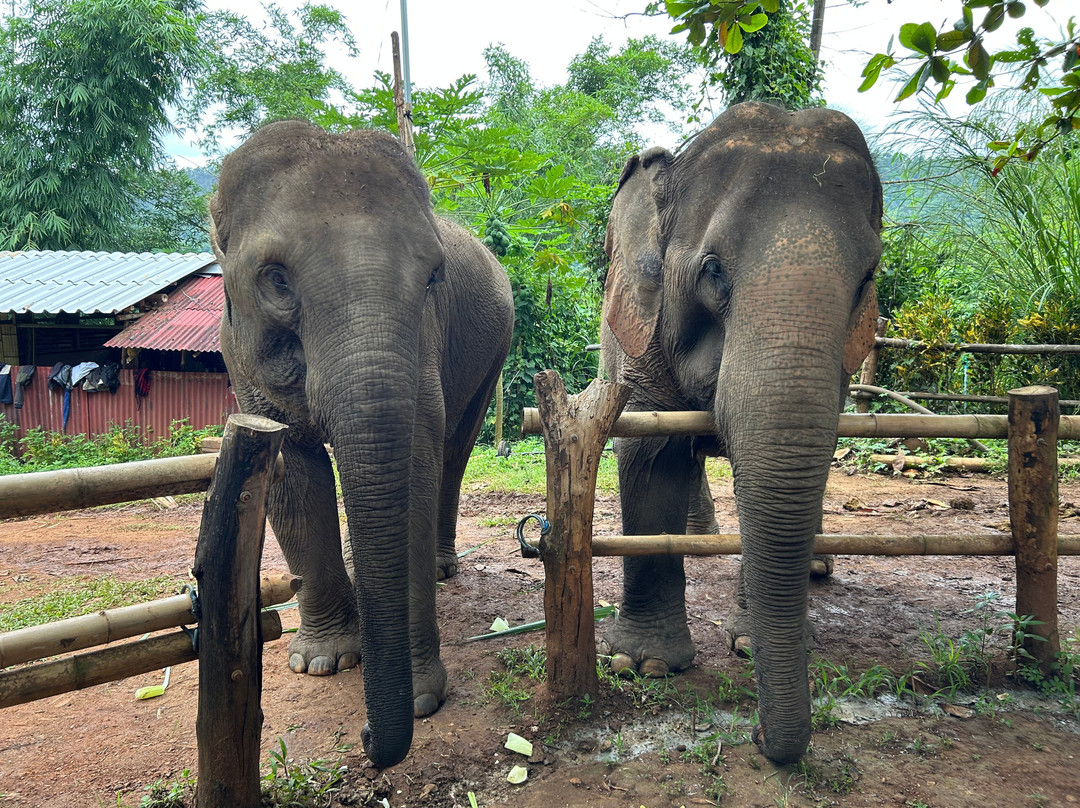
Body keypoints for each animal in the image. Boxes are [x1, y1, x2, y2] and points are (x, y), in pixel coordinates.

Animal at [210, 121, 514, 768]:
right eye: (276, 280)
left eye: (433, 277)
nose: (370, 737)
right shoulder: (239, 355)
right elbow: (292, 472)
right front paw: (322, 663)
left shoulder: (425, 342)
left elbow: (416, 466)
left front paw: (420, 699)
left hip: (495, 348)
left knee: (455, 452)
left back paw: (444, 567)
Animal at [599, 102, 882, 765]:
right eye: (713, 272)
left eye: (868, 278)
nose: (757, 736)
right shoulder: (640, 336)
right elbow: (650, 449)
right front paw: (642, 666)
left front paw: (751, 645)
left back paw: (813, 569)